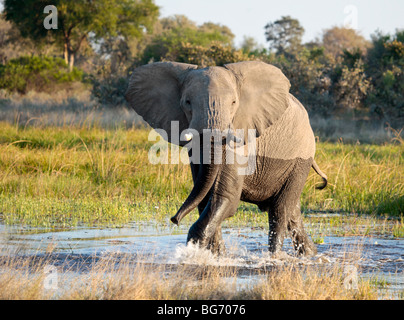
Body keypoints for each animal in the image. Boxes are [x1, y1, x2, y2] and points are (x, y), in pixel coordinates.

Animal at [126, 60, 328, 258]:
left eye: (233, 102)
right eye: (187, 102)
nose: (174, 219)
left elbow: (225, 197)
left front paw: (195, 253)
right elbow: (204, 198)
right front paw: (217, 256)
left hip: (301, 160)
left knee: (280, 209)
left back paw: (276, 257)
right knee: (292, 212)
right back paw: (309, 254)